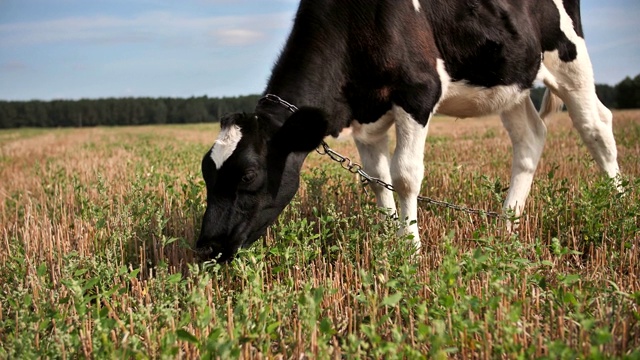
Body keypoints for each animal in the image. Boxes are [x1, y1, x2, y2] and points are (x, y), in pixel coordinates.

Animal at [195, 1, 620, 262]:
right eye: (207, 172)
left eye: (248, 174)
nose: (205, 247)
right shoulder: (365, 117)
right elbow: (375, 179)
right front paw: (388, 240)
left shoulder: (418, 93)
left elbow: (404, 176)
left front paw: (411, 249)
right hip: (511, 78)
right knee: (530, 138)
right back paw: (507, 225)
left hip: (569, 56)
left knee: (596, 126)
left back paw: (620, 205)